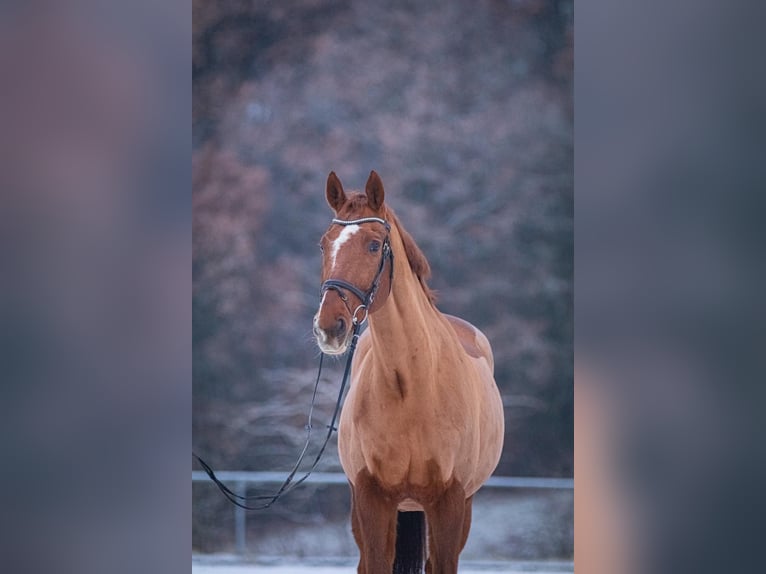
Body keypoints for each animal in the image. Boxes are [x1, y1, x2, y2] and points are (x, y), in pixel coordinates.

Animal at [316, 172, 508, 574]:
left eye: (374, 245)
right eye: (323, 245)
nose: (329, 327)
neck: (411, 386)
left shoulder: (449, 501)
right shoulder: (371, 498)